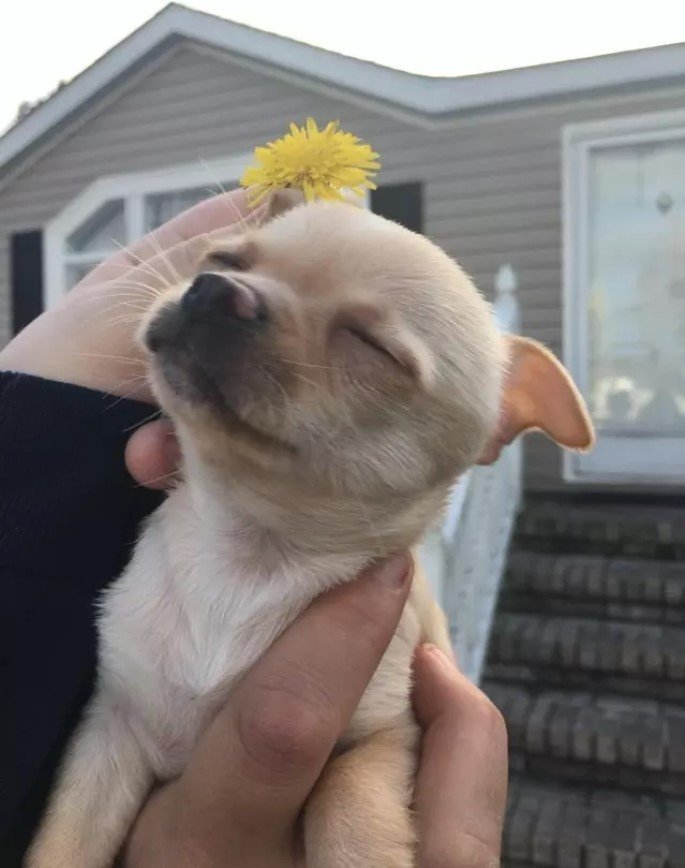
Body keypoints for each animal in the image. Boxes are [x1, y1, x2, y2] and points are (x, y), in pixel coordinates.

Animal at [28, 195, 592, 868]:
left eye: (372, 348)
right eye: (220, 259)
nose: (214, 290)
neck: (250, 554)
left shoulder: (381, 739)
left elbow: (352, 820)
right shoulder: (111, 731)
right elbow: (64, 842)